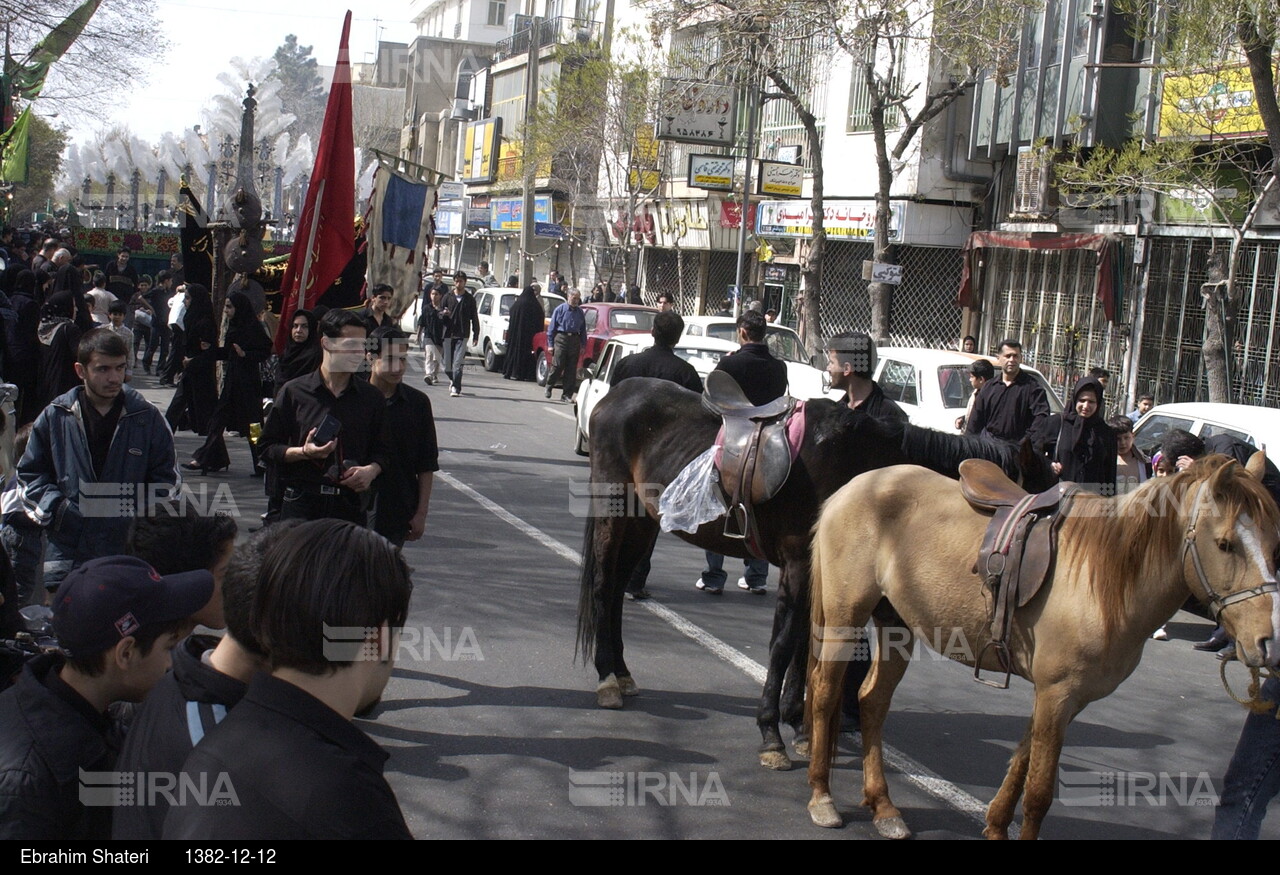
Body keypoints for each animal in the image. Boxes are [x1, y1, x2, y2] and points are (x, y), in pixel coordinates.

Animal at [576, 376, 1054, 767]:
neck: (862, 467)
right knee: (603, 584)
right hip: (615, 516)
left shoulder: (820, 571)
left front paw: (800, 726)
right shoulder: (798, 565)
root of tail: (613, 395)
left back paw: (621, 671)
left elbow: (808, 641)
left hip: (643, 522)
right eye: (1040, 508)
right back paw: (606, 678)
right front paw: (771, 733)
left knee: (616, 589)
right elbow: (785, 643)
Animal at [808, 455, 1280, 839]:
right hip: (845, 619)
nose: (1267, 641)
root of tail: (854, 486)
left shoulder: (1062, 698)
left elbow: (1021, 765)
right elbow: (1038, 793)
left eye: (1274, 545)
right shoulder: (1057, 692)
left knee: (872, 702)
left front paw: (996, 826)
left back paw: (884, 807)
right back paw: (821, 798)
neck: (1106, 579)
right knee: (826, 694)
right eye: (1225, 544)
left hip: (897, 627)